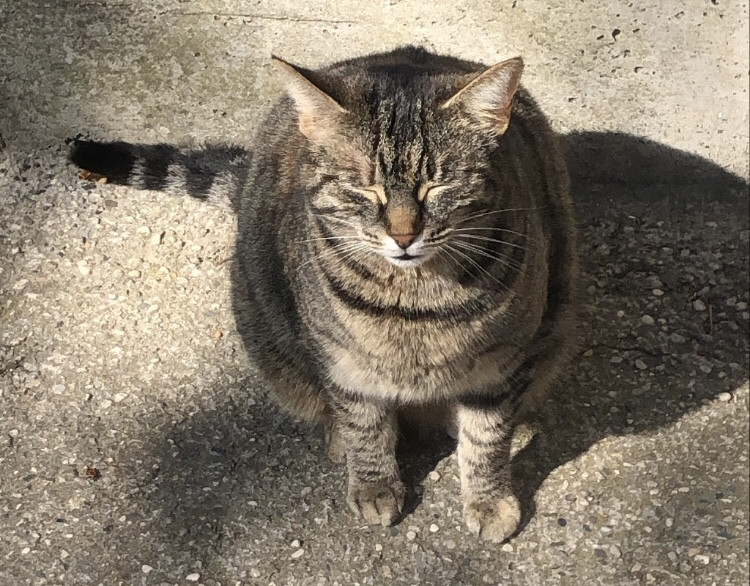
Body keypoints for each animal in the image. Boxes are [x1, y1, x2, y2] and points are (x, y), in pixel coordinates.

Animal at [69, 46, 578, 543]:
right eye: (364, 188)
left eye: (438, 185)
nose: (403, 236)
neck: (414, 303)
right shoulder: (342, 361)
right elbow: (365, 424)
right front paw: (373, 483)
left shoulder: (503, 363)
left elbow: (487, 439)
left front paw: (489, 500)